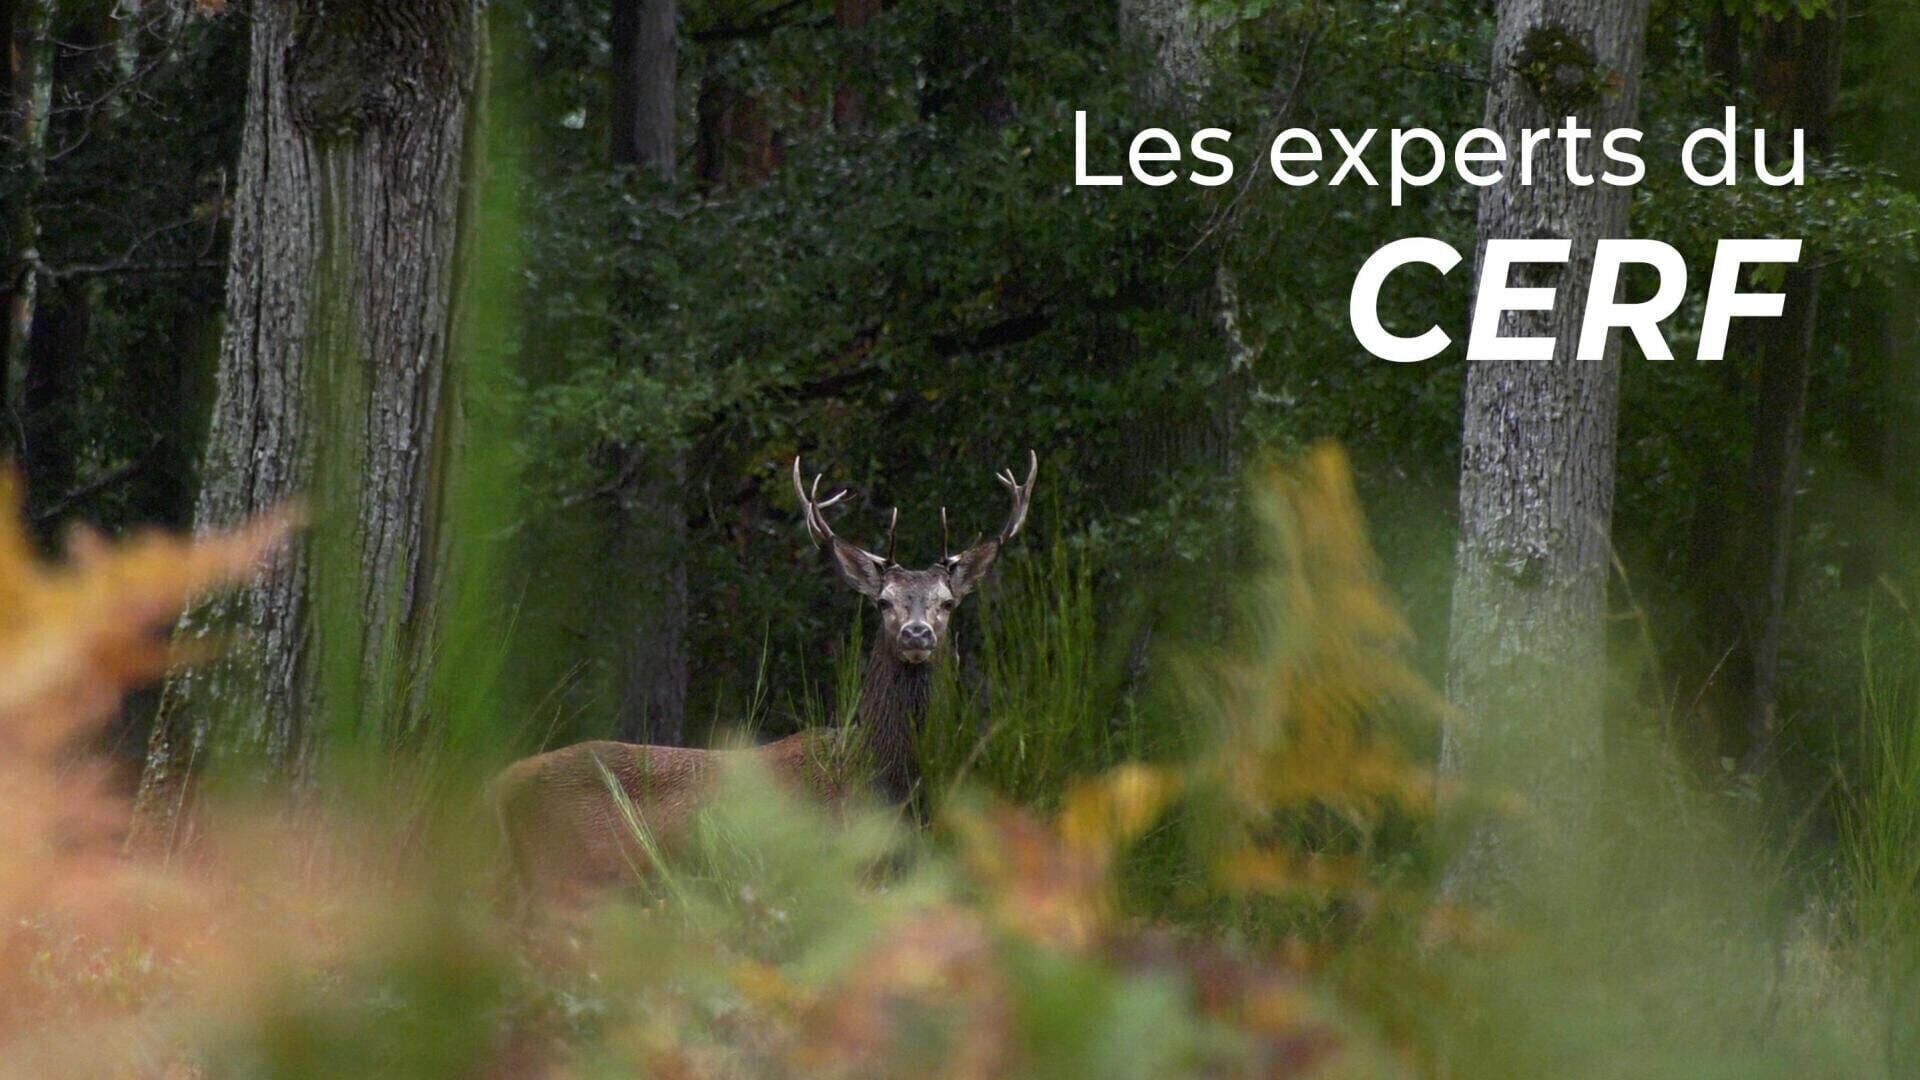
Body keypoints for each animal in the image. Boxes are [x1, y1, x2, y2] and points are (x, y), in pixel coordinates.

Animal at [491, 451, 1038, 903]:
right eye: (882, 602)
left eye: (947, 602)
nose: (917, 632)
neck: (879, 781)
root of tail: (500, 784)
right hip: (568, 873)